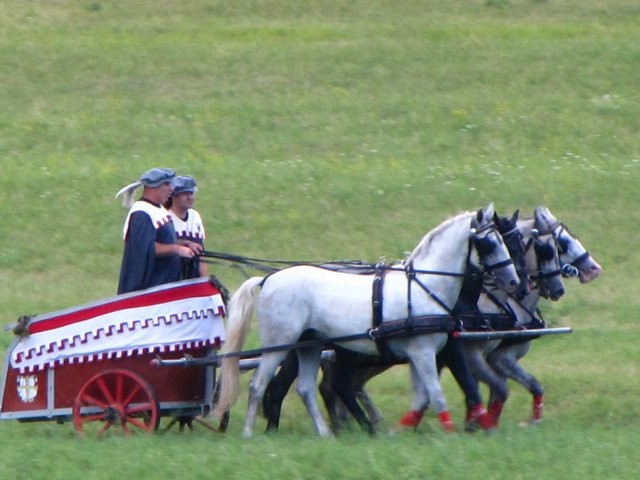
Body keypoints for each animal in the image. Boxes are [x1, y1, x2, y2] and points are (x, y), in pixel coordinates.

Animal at [214, 204, 520, 436]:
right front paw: (449, 431)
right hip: (280, 343)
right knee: (259, 385)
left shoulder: (421, 353)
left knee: (305, 388)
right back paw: (249, 433)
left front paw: (400, 430)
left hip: (310, 345)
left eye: (506, 241)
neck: (425, 285)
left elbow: (423, 396)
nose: (515, 282)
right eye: (489, 243)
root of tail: (268, 279)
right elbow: (436, 393)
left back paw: (325, 433)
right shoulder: (423, 352)